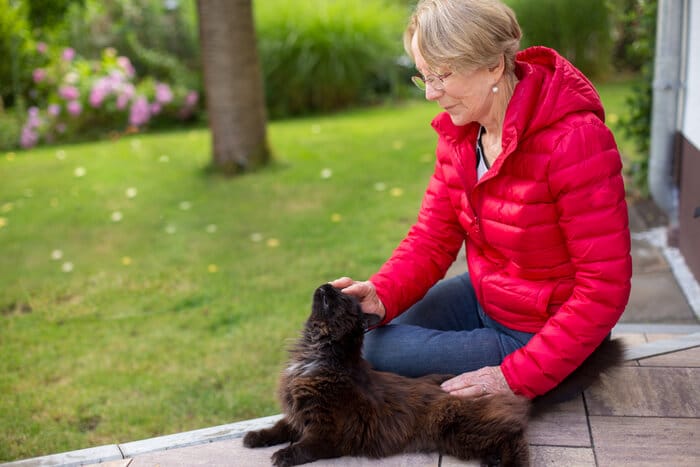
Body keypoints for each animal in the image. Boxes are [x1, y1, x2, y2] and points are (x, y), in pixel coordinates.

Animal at [245, 284, 532, 466]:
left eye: (341, 297)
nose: (326, 285)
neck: (315, 354)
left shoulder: (326, 431)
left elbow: (303, 446)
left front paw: (284, 455)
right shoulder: (298, 413)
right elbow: (279, 427)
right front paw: (256, 437)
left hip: (458, 429)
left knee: (514, 436)